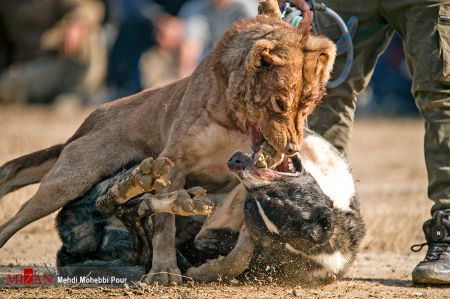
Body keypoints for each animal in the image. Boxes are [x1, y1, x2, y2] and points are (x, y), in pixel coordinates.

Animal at [0, 0, 334, 286]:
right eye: (280, 102)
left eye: (310, 103)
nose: (292, 149)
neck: (232, 118)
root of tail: (89, 122)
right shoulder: (175, 162)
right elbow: (164, 226)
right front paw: (163, 272)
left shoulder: (248, 181)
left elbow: (244, 246)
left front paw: (213, 268)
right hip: (69, 180)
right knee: (20, 219)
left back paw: (144, 185)